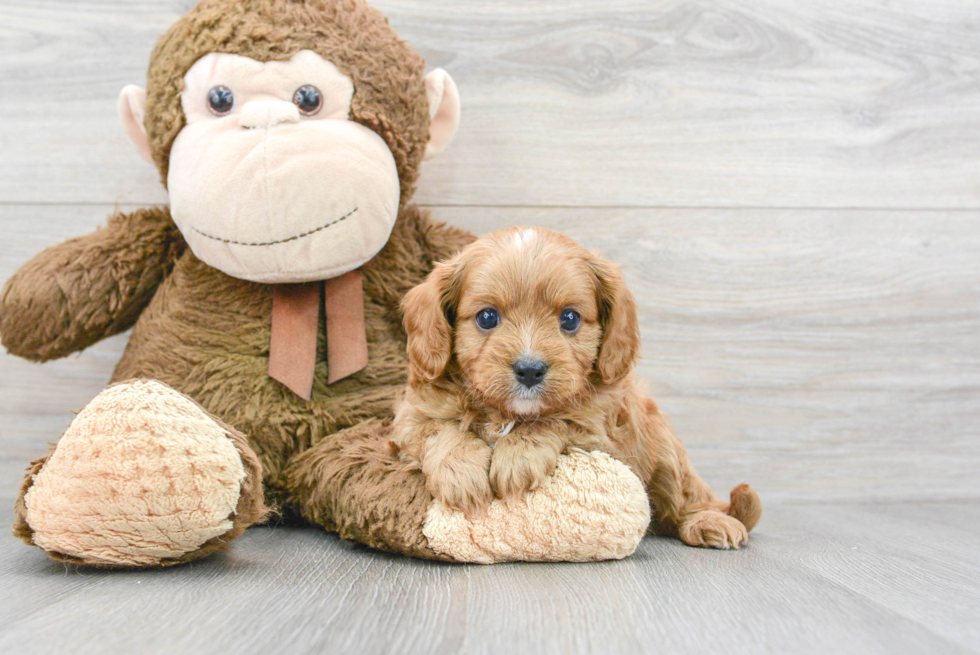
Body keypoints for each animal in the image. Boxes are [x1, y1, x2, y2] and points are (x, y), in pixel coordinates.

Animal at [394, 226, 760, 548]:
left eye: (569, 319)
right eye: (487, 317)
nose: (530, 370)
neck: (507, 414)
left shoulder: (604, 434)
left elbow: (556, 419)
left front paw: (517, 457)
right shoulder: (409, 421)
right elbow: (440, 429)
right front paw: (460, 474)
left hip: (664, 447)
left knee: (688, 495)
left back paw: (711, 521)